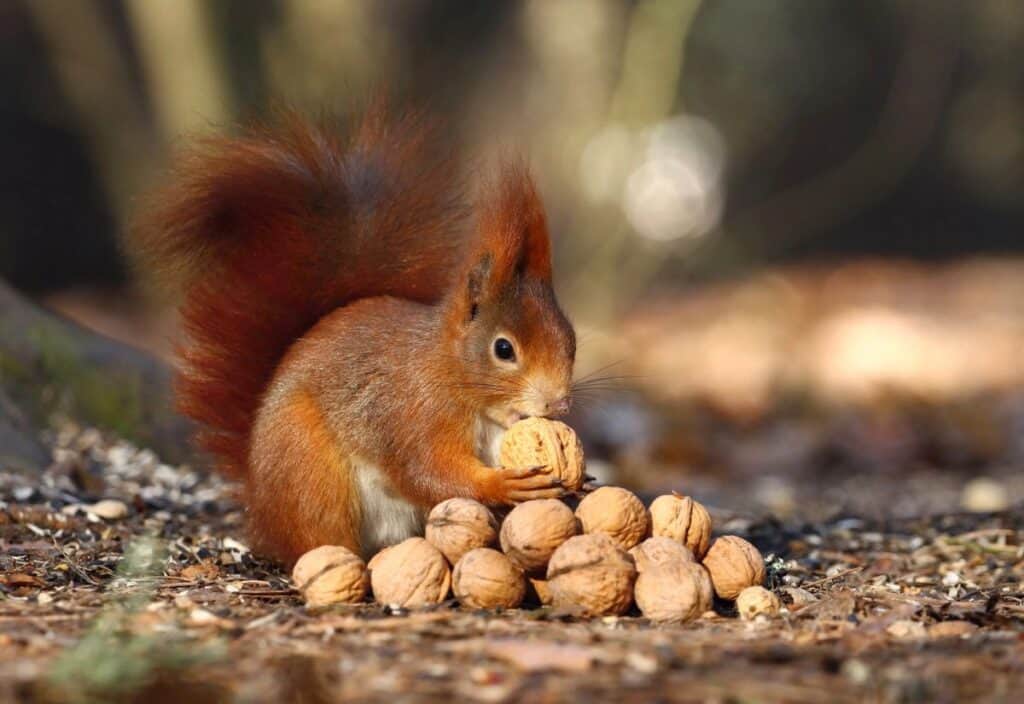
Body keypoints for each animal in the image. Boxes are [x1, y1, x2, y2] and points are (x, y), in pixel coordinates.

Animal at [134, 105, 577, 564]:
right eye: (503, 349)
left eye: (571, 341)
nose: (559, 404)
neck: (451, 374)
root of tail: (260, 508)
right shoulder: (414, 413)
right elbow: (427, 470)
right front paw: (502, 485)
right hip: (310, 473)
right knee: (320, 537)